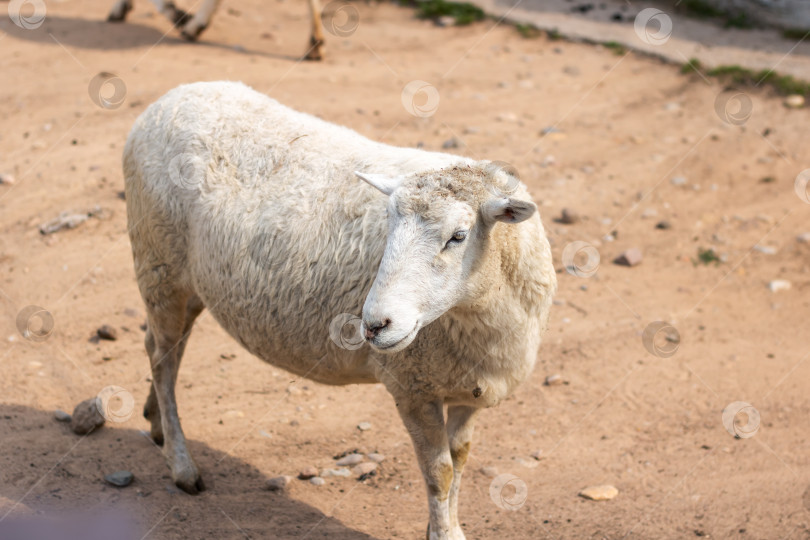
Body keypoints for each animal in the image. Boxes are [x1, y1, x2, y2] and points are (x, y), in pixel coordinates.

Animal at [124, 80, 556, 540]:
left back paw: (156, 422)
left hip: (181, 283)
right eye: (388, 223)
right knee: (162, 358)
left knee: (163, 349)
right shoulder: (412, 386)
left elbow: (459, 462)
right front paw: (442, 533)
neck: (477, 315)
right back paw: (181, 465)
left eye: (458, 236)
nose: (374, 324)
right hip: (159, 265)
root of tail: (173, 96)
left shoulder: (468, 390)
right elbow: (439, 474)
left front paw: (448, 527)